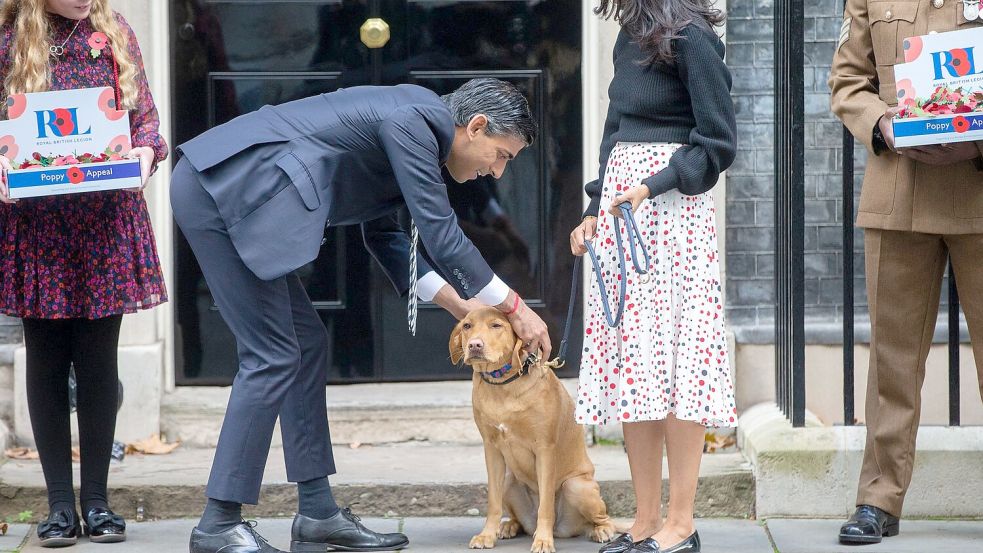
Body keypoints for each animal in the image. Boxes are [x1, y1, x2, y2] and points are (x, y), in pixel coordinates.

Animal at [452, 306, 620, 552]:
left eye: (496, 325)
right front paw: (487, 535)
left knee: (600, 518)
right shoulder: (491, 449)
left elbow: (546, 506)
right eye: (466, 326)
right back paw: (509, 525)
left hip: (576, 486)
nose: (474, 345)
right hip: (509, 480)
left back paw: (601, 530)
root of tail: (563, 530)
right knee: (519, 518)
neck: (503, 383)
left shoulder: (545, 450)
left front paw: (543, 540)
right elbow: (493, 503)